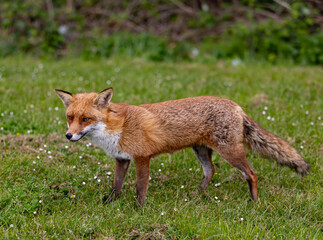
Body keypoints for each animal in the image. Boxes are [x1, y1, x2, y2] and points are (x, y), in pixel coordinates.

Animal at [56, 88, 312, 206]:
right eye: (70, 117)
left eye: (85, 119)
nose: (69, 136)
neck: (115, 128)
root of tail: (236, 106)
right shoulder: (121, 159)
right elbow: (116, 187)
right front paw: (110, 204)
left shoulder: (142, 158)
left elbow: (140, 188)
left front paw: (138, 209)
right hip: (200, 150)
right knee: (210, 170)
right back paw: (197, 195)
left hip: (231, 152)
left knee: (252, 173)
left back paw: (254, 201)